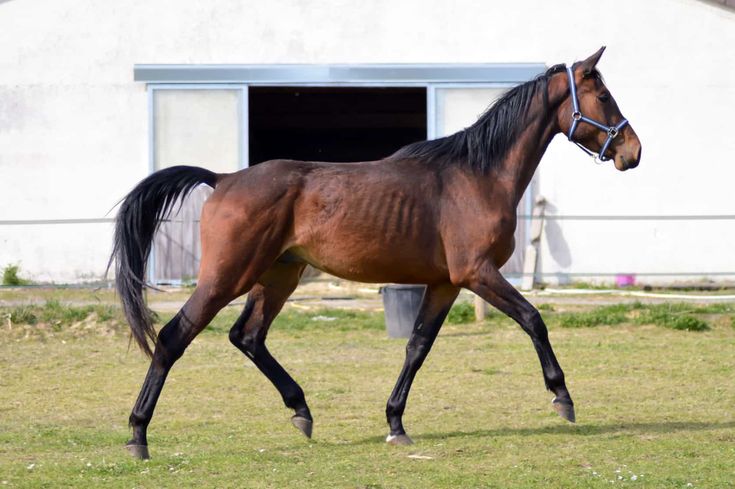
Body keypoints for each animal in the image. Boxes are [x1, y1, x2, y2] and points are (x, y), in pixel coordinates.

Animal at [112, 46, 640, 458]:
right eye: (604, 97)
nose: (632, 152)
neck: (477, 175)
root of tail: (223, 179)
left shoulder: (445, 283)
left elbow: (417, 347)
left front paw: (395, 424)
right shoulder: (477, 273)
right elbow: (533, 319)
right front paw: (562, 397)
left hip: (278, 276)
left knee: (248, 336)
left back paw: (301, 411)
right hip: (228, 276)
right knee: (173, 337)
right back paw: (138, 435)